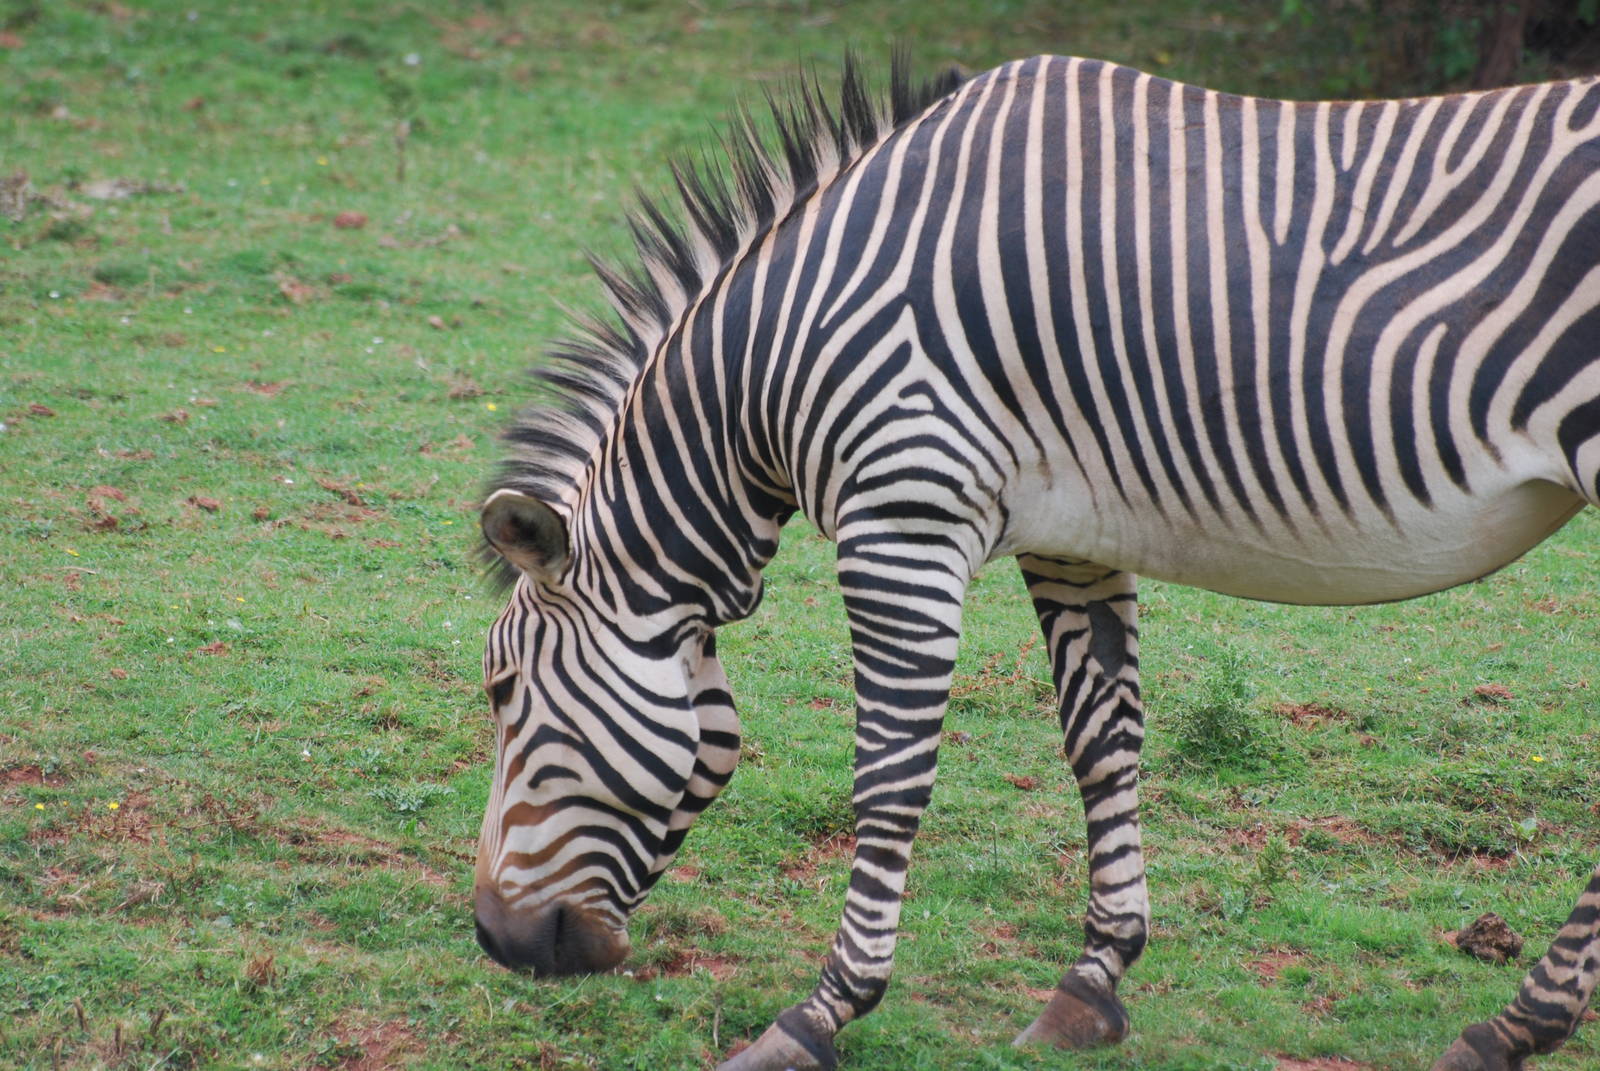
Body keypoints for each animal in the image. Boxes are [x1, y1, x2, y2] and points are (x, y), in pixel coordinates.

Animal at [471, 53, 1600, 1070]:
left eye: (501, 691)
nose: (495, 940)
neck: (782, 357)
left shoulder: (905, 515)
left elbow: (889, 778)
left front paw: (821, 1014)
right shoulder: (1072, 534)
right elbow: (1104, 742)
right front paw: (1091, 984)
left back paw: (1514, 1026)